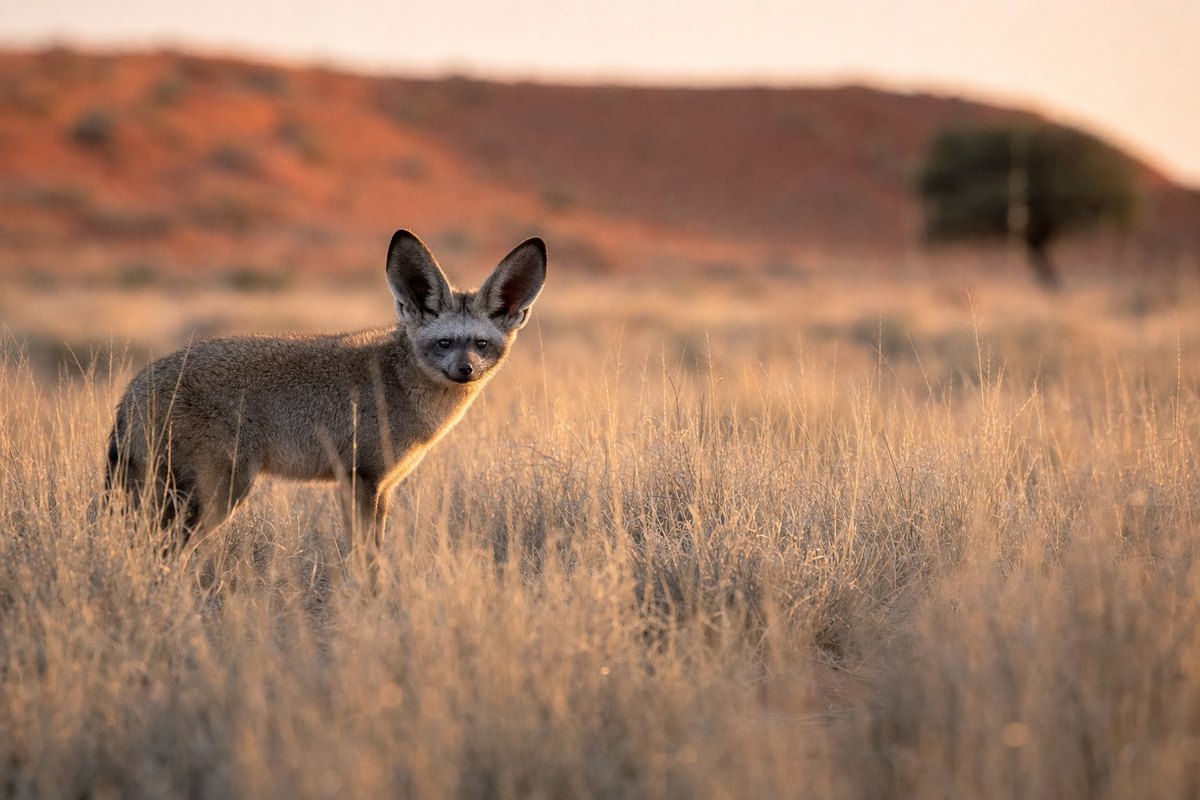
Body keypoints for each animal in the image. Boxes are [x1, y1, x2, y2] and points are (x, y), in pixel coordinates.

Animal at [104, 229, 547, 560]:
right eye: (444, 343)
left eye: (481, 344)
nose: (465, 371)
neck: (400, 384)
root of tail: (135, 385)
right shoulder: (361, 481)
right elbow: (366, 558)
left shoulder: (379, 487)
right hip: (216, 496)